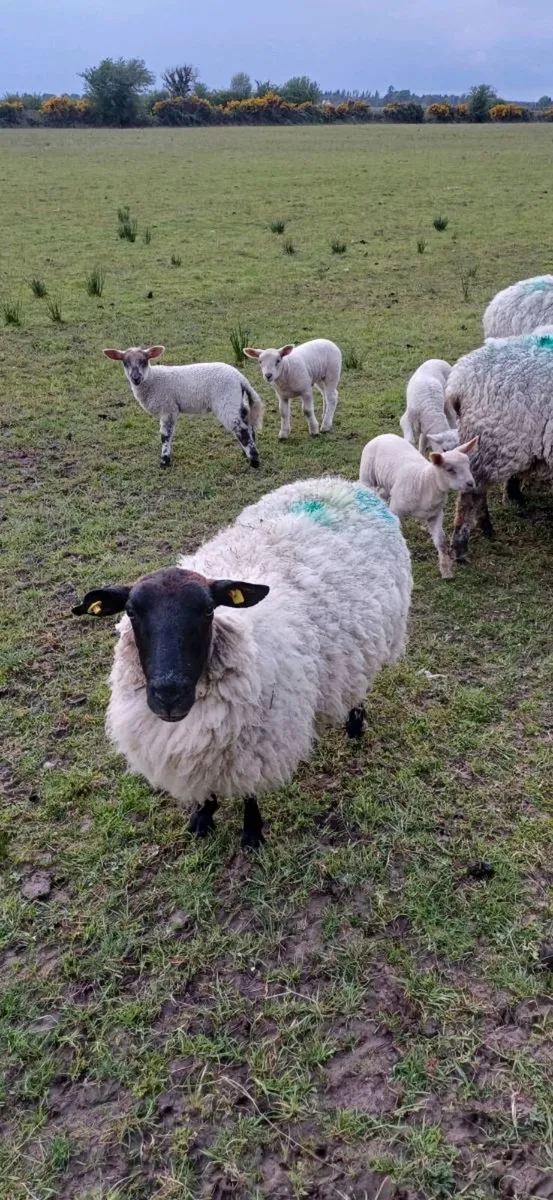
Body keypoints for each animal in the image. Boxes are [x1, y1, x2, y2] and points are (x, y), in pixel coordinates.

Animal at [72, 476, 412, 849]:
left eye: (208, 610)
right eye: (131, 612)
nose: (168, 694)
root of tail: (344, 483)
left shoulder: (256, 743)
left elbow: (250, 791)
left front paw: (251, 834)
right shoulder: (203, 747)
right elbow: (206, 788)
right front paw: (203, 818)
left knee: (359, 685)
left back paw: (354, 725)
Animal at [103, 346, 263, 469]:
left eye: (144, 360)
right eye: (125, 362)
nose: (136, 378)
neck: (153, 379)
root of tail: (240, 378)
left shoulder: (168, 407)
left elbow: (165, 435)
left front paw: (164, 461)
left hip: (226, 400)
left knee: (241, 429)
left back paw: (254, 461)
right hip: (236, 399)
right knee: (247, 422)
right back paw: (247, 453)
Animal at [359, 433, 478, 579]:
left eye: (468, 465)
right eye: (450, 470)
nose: (471, 484)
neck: (425, 482)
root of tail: (383, 435)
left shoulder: (435, 514)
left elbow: (441, 541)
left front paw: (446, 570)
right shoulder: (396, 509)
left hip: (388, 484)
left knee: (380, 494)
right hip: (367, 474)